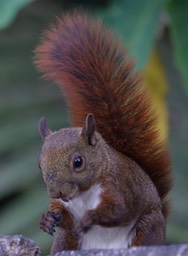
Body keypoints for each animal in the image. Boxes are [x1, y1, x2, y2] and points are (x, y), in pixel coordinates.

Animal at [34, 10, 173, 254]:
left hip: (149, 227)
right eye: (40, 165)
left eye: (78, 162)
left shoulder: (122, 187)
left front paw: (90, 218)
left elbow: (119, 210)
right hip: (67, 240)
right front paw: (48, 218)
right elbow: (65, 218)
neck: (83, 194)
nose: (56, 193)